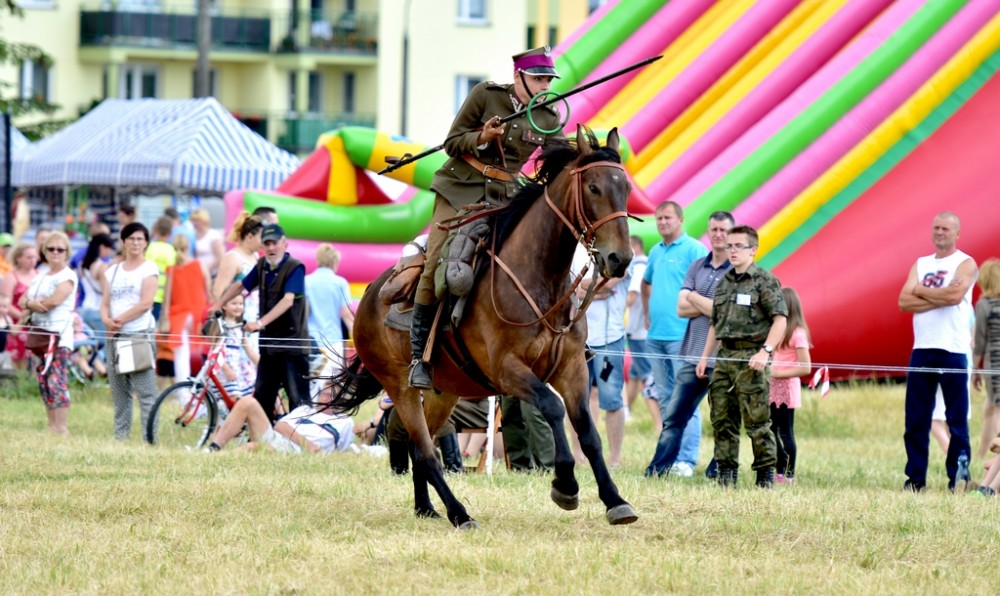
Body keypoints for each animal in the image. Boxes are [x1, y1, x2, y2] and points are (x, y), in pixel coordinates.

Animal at [330, 125, 638, 529]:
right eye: (593, 188)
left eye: (626, 188)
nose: (620, 259)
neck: (541, 282)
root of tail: (368, 297)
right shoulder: (508, 371)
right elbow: (552, 409)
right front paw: (565, 484)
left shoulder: (571, 369)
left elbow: (587, 430)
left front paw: (615, 499)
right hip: (401, 387)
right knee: (425, 450)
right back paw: (459, 513)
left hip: (444, 392)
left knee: (417, 443)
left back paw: (426, 508)